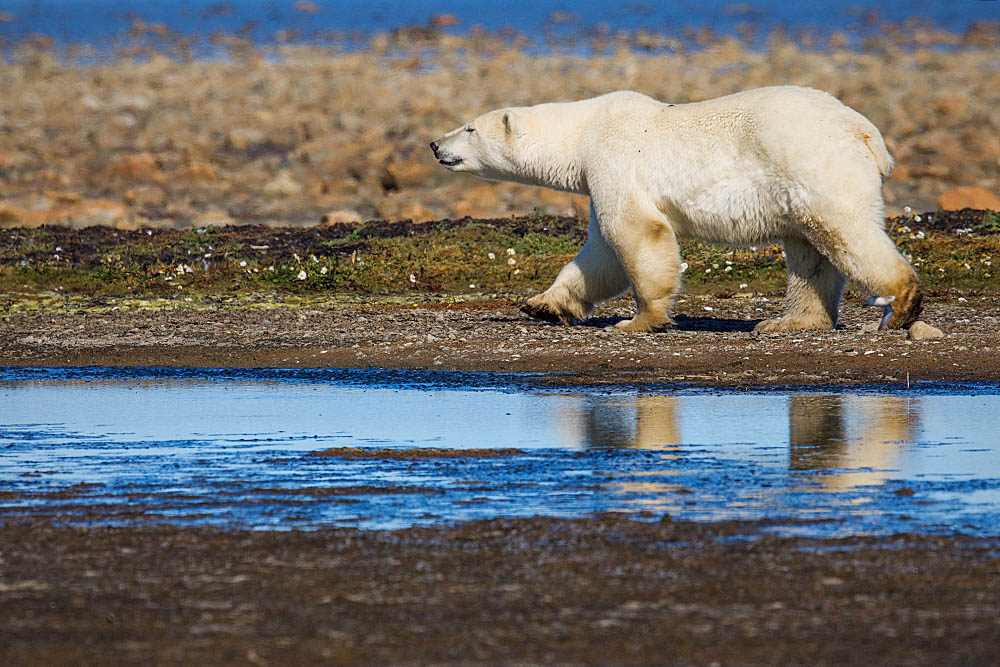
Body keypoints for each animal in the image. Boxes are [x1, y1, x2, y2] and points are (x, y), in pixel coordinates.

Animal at [430, 86, 920, 332]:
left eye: (469, 128)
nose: (435, 144)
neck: (584, 132)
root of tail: (865, 131)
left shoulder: (615, 160)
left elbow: (635, 233)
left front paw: (637, 321)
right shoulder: (599, 177)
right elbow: (600, 254)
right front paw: (544, 304)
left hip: (810, 161)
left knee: (843, 231)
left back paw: (902, 302)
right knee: (808, 250)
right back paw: (791, 322)